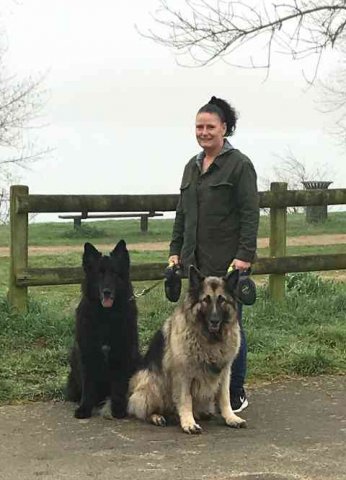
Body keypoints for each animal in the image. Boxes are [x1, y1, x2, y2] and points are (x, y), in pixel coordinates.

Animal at [66, 240, 139, 420]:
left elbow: (119, 386)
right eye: (99, 274)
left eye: (114, 274)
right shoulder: (88, 353)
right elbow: (88, 385)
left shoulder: (122, 353)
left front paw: (118, 410)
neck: (106, 316)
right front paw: (84, 408)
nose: (107, 292)